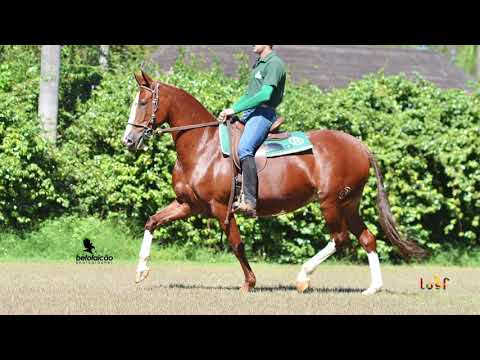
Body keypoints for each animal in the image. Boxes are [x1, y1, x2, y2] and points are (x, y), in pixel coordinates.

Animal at [124, 71, 428, 296]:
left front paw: (249, 283)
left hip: (331, 202)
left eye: (143, 103)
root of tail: (360, 146)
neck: (203, 146)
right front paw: (140, 271)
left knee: (340, 238)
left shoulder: (221, 208)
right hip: (349, 204)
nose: (128, 140)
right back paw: (373, 288)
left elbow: (237, 244)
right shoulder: (189, 205)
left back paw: (304, 277)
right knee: (367, 238)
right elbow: (152, 221)